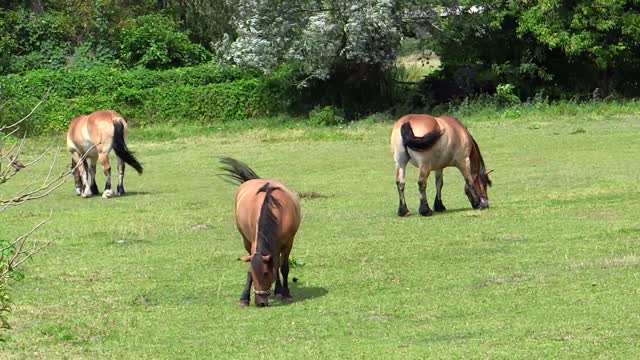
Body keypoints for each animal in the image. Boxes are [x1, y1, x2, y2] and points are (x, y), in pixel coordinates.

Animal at [219, 158, 302, 306]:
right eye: (253, 274)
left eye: (265, 274)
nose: (260, 303)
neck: (274, 210)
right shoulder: (254, 243)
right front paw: (244, 298)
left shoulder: (288, 243)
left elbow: (283, 267)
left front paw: (286, 294)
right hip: (247, 241)